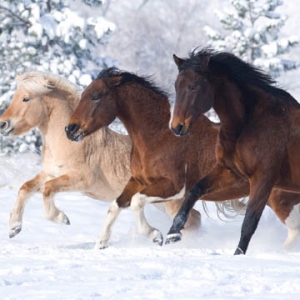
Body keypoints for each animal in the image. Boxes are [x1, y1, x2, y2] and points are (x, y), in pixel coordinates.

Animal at [1, 71, 202, 243]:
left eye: (26, 98)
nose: (3, 124)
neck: (70, 142)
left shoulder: (81, 179)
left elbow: (47, 189)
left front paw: (62, 218)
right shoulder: (50, 173)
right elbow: (25, 188)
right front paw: (14, 228)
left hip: (171, 202)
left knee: (192, 220)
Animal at [168, 48, 300, 253]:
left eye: (193, 86)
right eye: (176, 85)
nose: (177, 127)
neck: (247, 123)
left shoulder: (263, 179)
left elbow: (249, 223)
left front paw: (238, 255)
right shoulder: (230, 172)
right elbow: (193, 192)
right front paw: (172, 234)